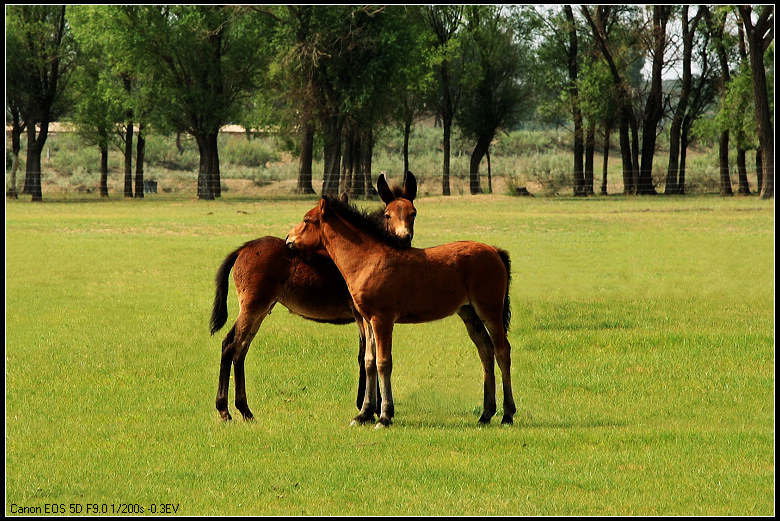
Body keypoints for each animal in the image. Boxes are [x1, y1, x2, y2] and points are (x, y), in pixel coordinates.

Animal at [207, 173, 414, 420]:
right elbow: (366, 355)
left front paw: (370, 406)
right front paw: (369, 407)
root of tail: (244, 248)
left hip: (260, 309)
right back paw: (224, 409)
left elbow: (368, 354)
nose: (404, 239)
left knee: (241, 350)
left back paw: (245, 410)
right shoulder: (362, 315)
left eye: (413, 213)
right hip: (252, 307)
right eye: (388, 215)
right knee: (230, 345)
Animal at [286, 195, 516, 426]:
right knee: (485, 351)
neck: (369, 260)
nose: (288, 238)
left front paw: (385, 416)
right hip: (469, 314)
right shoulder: (367, 320)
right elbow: (369, 362)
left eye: (306, 220)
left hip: (490, 311)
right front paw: (364, 414)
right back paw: (485, 414)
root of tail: (495, 251)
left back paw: (507, 414)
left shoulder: (382, 320)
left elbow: (383, 363)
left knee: (502, 351)